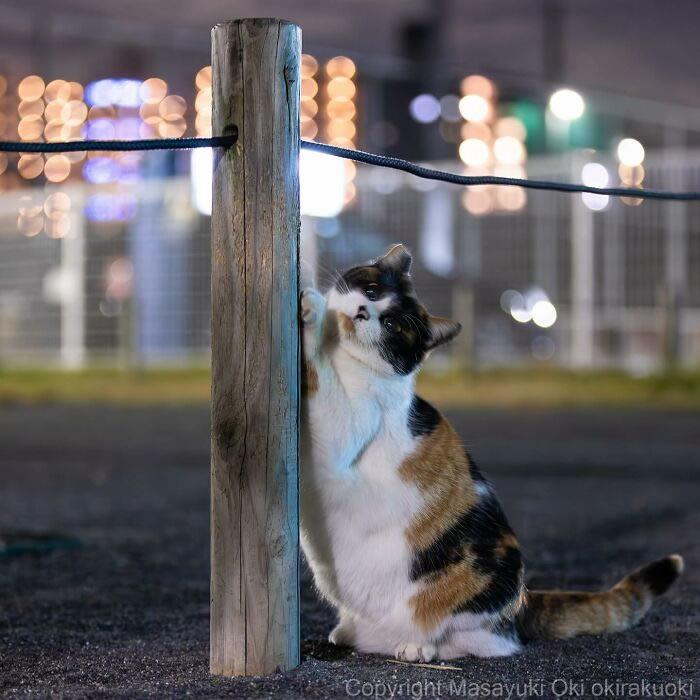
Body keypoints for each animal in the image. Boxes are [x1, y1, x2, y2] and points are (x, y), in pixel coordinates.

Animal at [300, 243, 684, 660]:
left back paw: (418, 646)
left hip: (479, 586)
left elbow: (322, 378)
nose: (363, 312)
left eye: (393, 326)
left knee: (479, 640)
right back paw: (347, 632)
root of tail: (525, 602)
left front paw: (312, 312)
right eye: (371, 291)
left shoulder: (345, 430)